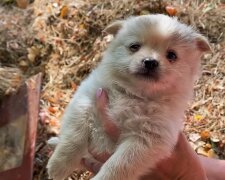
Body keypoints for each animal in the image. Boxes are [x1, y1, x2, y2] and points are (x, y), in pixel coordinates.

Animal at [46, 14, 210, 180]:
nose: (150, 62)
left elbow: (119, 165)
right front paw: (60, 164)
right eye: (134, 46)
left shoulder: (147, 138)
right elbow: (74, 136)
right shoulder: (86, 99)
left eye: (172, 55)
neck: (134, 94)